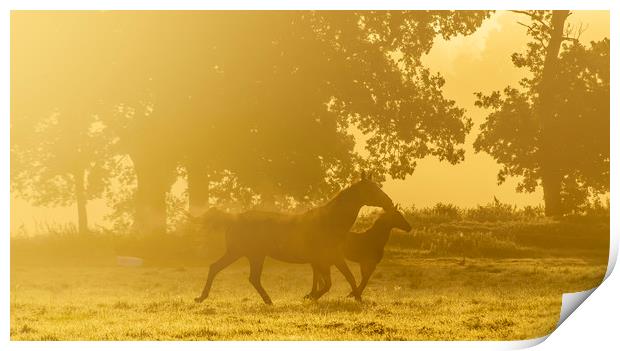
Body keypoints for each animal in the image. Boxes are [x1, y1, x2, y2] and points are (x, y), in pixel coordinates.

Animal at [194, 174, 392, 306]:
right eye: (372, 189)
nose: (389, 202)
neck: (329, 222)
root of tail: (233, 218)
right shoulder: (329, 258)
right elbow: (333, 282)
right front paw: (312, 297)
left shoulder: (327, 259)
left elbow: (339, 279)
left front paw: (356, 298)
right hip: (241, 253)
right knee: (221, 269)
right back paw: (203, 297)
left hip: (252, 255)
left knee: (246, 276)